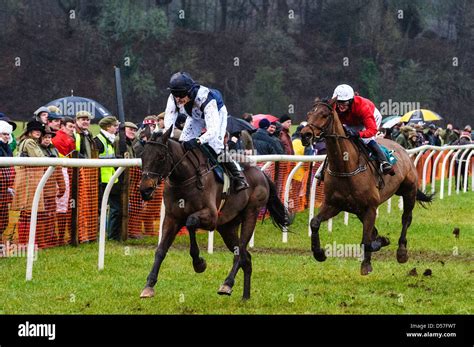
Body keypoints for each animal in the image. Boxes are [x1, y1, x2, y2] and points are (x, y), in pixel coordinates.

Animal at [139, 129, 290, 300]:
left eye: (160, 156)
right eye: (142, 155)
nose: (145, 190)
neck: (186, 178)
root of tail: (262, 173)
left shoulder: (211, 217)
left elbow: (190, 222)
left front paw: (199, 263)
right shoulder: (172, 218)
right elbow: (160, 250)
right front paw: (149, 286)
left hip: (251, 214)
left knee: (240, 253)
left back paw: (227, 284)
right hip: (227, 227)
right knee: (246, 257)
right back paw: (245, 297)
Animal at [302, 96, 432, 276]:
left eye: (324, 115)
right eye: (309, 114)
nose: (305, 134)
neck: (345, 166)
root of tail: (401, 147)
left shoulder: (370, 207)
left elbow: (366, 239)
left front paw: (366, 264)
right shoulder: (334, 205)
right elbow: (314, 222)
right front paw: (319, 253)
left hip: (409, 191)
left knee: (406, 218)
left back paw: (401, 252)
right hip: (358, 208)